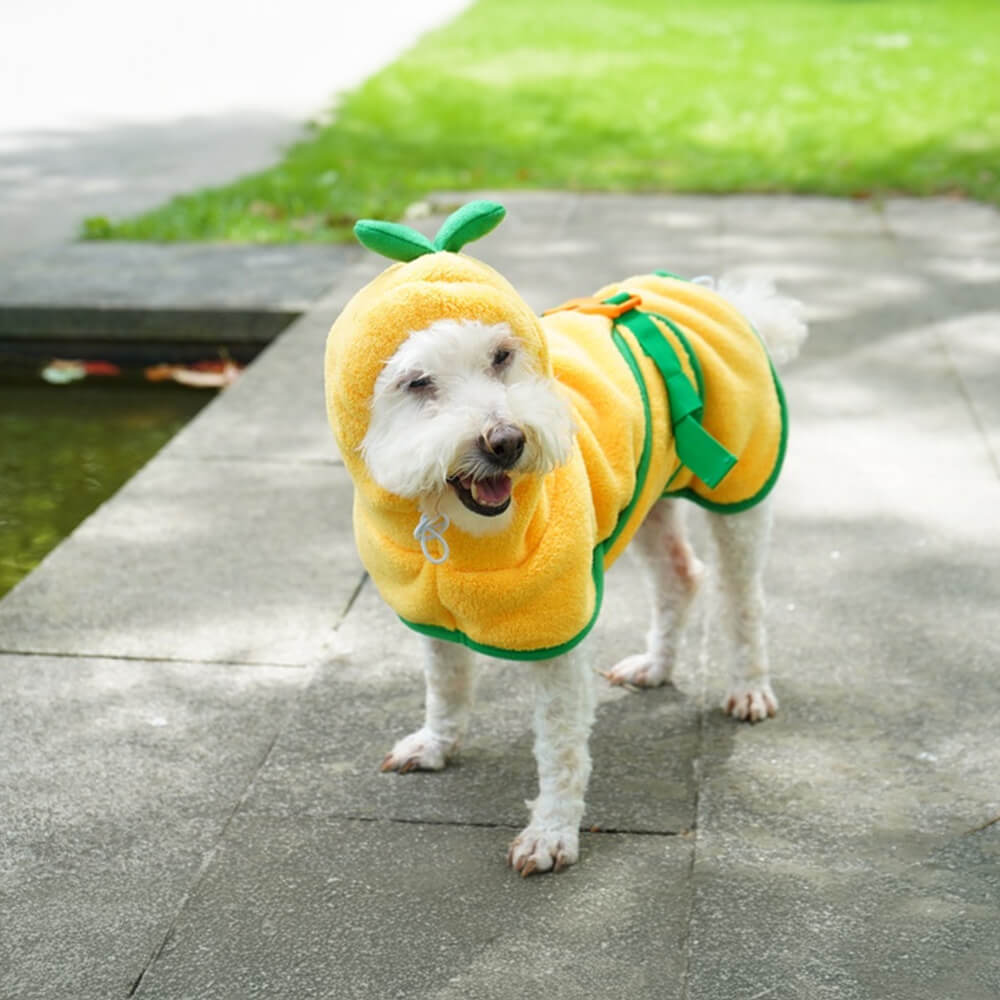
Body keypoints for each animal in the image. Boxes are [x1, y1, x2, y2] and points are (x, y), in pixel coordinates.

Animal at [324, 201, 808, 876]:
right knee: (681, 576)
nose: (506, 442)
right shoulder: (428, 611)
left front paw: (551, 834)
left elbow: (560, 746)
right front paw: (437, 745)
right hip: (647, 494)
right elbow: (446, 687)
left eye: (502, 356)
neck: (452, 530)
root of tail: (717, 296)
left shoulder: (556, 629)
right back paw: (655, 666)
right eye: (417, 383)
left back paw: (749, 688)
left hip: (740, 490)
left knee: (742, 601)